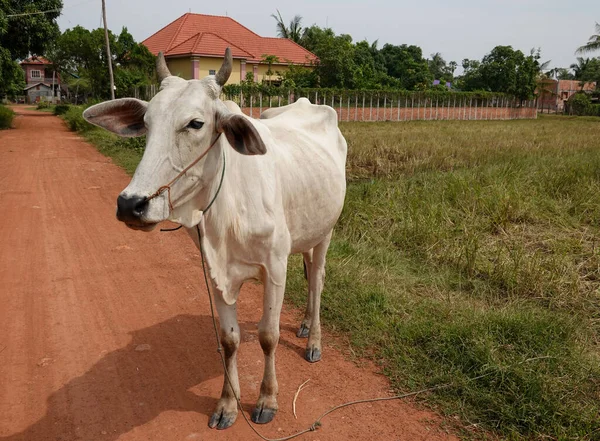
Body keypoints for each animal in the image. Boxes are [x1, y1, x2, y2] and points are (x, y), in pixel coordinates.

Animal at [83, 49, 346, 430]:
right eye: (147, 123)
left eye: (196, 124)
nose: (131, 204)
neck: (228, 208)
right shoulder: (214, 271)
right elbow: (229, 339)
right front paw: (227, 404)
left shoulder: (274, 268)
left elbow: (268, 336)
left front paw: (267, 399)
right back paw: (306, 326)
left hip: (325, 232)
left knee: (317, 280)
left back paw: (313, 341)